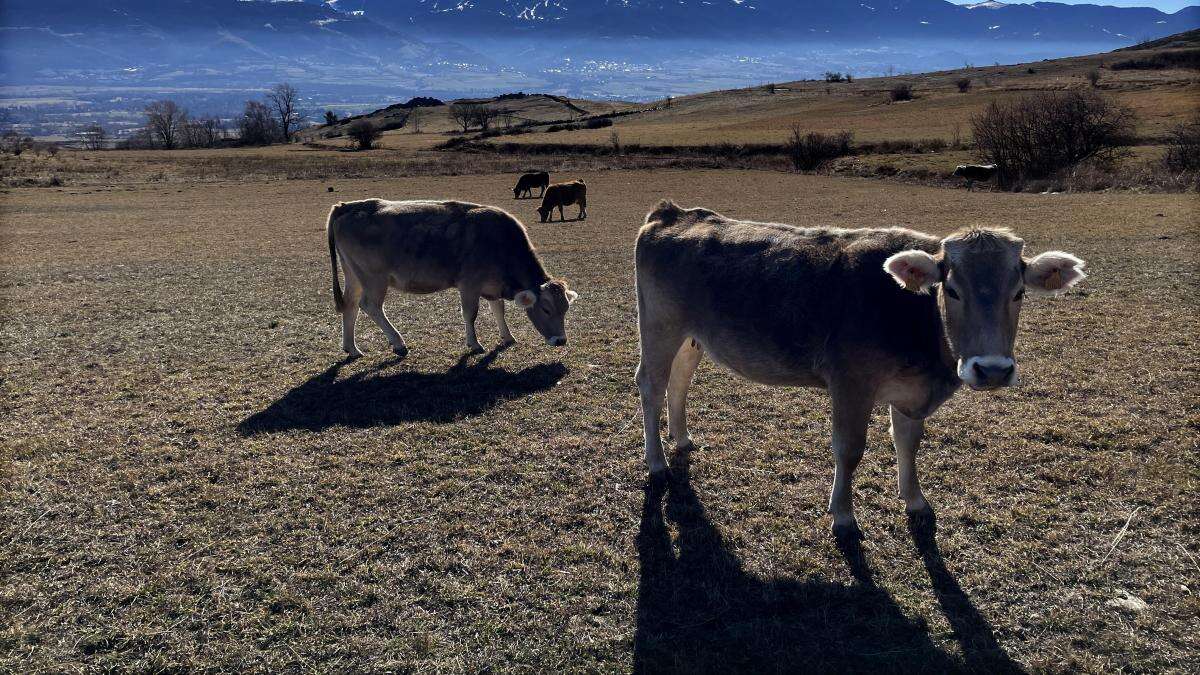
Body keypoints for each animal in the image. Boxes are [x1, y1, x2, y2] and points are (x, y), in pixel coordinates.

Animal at [324, 196, 576, 355]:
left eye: (565, 309)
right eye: (546, 309)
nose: (561, 341)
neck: (500, 241)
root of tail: (347, 206)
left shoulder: (493, 286)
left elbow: (498, 311)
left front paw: (507, 337)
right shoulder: (469, 284)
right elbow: (470, 314)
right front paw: (474, 344)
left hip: (353, 275)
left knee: (351, 305)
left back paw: (352, 348)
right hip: (374, 278)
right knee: (370, 306)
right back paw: (398, 342)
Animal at [638, 199, 1089, 535]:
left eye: (1018, 292)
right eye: (952, 289)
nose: (992, 370)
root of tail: (674, 213)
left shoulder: (910, 392)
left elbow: (908, 442)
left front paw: (915, 501)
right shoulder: (850, 383)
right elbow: (849, 448)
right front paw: (843, 515)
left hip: (693, 336)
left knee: (679, 381)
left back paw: (682, 439)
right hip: (660, 325)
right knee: (651, 386)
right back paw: (657, 462)